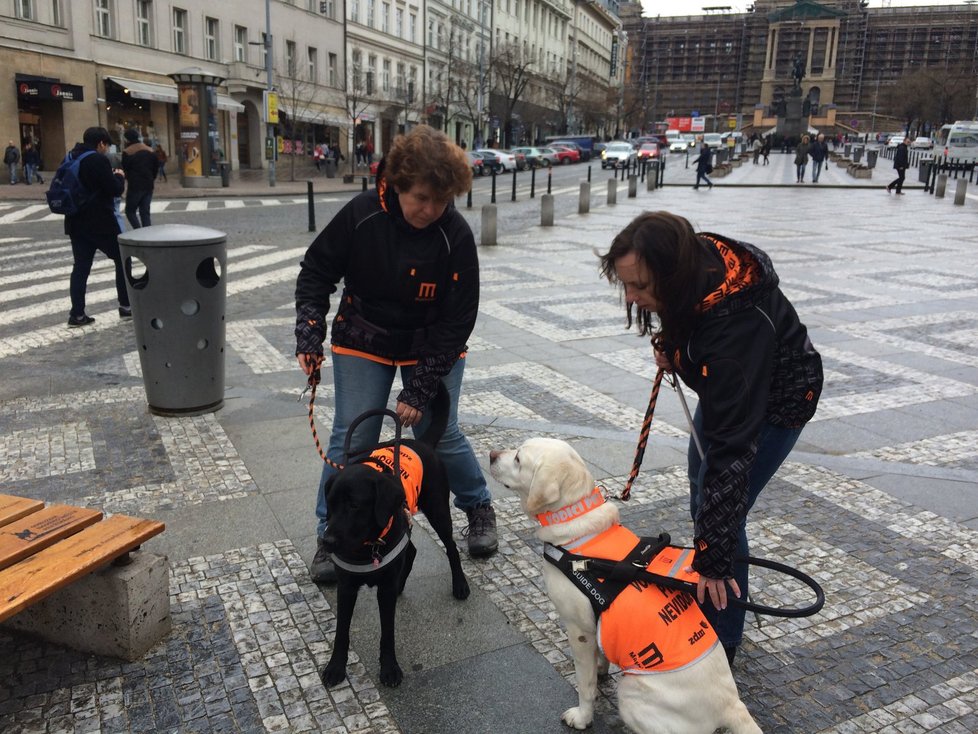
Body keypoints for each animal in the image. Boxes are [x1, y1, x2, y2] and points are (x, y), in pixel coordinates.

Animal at [320, 382, 468, 692]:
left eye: (355, 505)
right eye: (331, 504)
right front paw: (336, 667)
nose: (327, 542)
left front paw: (389, 669)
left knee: (451, 548)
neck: (367, 547)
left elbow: (387, 633)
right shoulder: (346, 587)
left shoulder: (384, 591)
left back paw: (460, 584)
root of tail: (423, 443)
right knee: (410, 550)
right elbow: (341, 631)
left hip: (438, 510)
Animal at [492, 440, 760, 732]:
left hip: (630, 691)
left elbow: (585, 684)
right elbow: (601, 654)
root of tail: (731, 704)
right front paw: (602, 669)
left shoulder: (579, 631)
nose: (491, 455)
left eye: (518, 459)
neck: (575, 517)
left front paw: (582, 716)